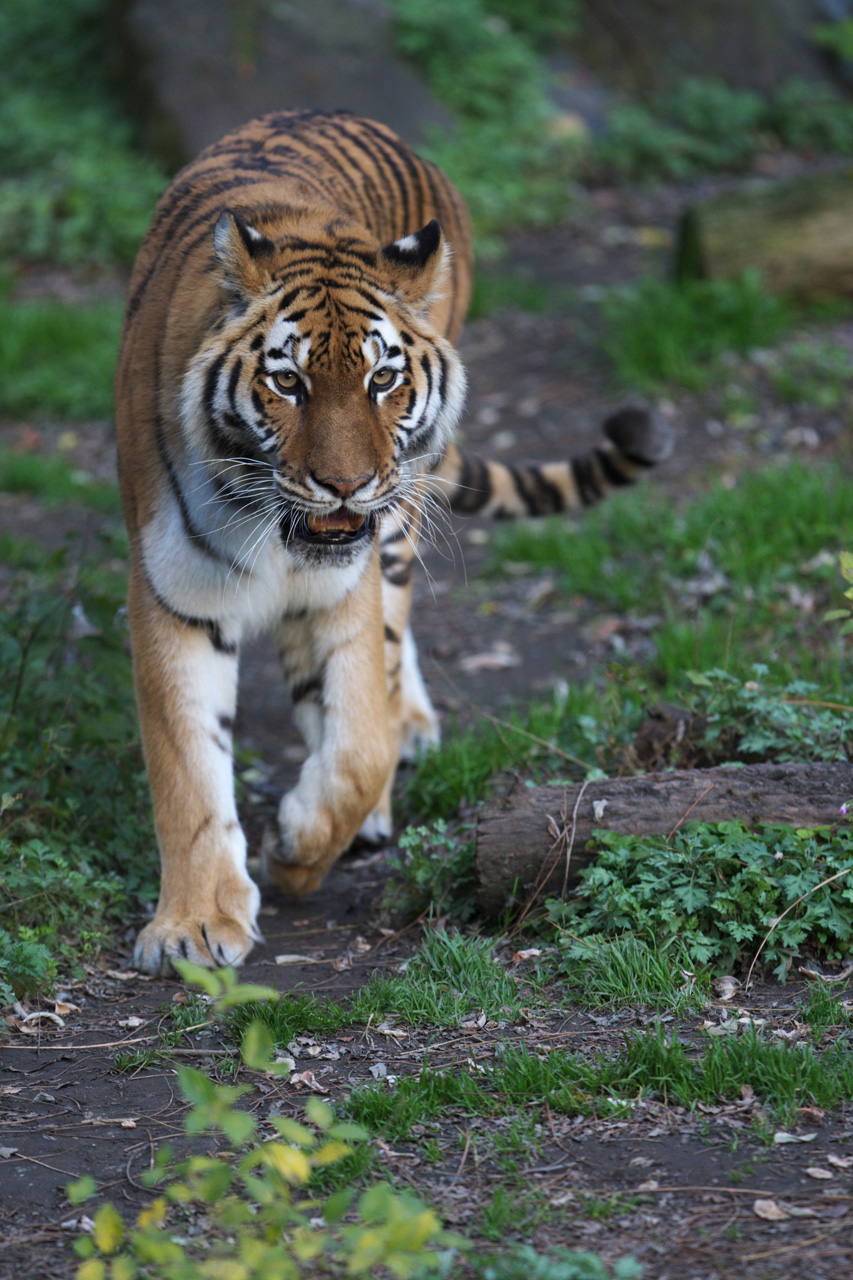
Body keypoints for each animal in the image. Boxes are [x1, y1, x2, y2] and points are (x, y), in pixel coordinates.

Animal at [114, 110, 671, 972]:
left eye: (381, 379)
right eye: (287, 382)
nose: (344, 485)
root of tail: (341, 114)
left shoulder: (346, 586)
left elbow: (357, 747)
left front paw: (300, 847)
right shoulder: (176, 594)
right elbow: (187, 772)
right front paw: (195, 927)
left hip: (401, 522)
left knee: (388, 642)